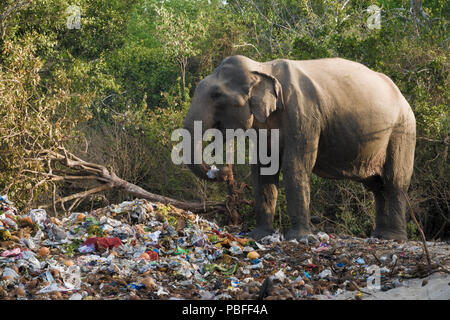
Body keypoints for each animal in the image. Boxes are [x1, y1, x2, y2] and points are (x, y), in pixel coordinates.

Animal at [182, 54, 414, 240]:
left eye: (216, 95)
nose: (223, 171)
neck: (262, 68)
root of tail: (403, 97)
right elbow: (262, 170)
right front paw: (259, 235)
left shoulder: (304, 115)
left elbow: (295, 166)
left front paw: (298, 237)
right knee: (377, 185)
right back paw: (380, 235)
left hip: (402, 131)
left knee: (394, 181)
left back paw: (394, 238)